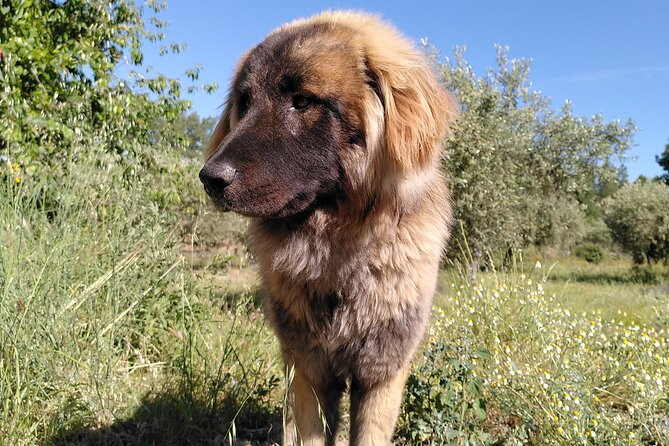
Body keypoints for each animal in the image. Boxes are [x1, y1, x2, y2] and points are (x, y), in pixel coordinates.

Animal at [200, 11, 454, 446]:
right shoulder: (309, 370)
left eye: (302, 101)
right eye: (244, 104)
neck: (338, 253)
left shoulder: (381, 374)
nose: (210, 178)